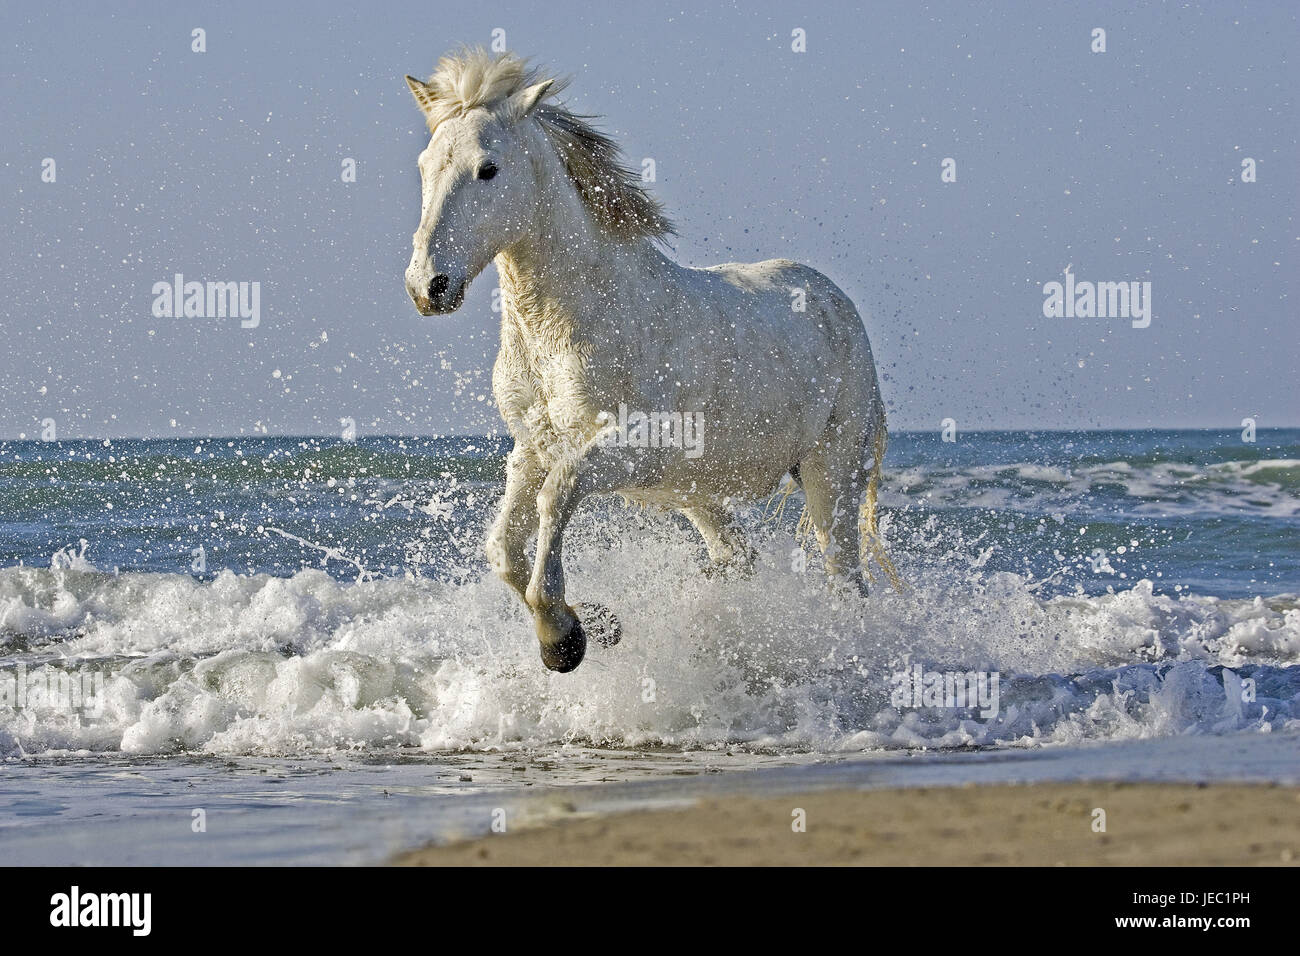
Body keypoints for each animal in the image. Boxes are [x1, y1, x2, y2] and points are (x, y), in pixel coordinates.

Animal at [400, 48, 899, 671]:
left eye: (487, 169)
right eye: (425, 166)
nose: (428, 287)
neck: (567, 328)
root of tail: (837, 302)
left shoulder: (628, 449)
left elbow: (556, 495)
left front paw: (562, 641)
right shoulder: (531, 449)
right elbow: (503, 551)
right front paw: (595, 625)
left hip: (830, 472)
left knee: (844, 579)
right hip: (699, 492)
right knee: (738, 559)